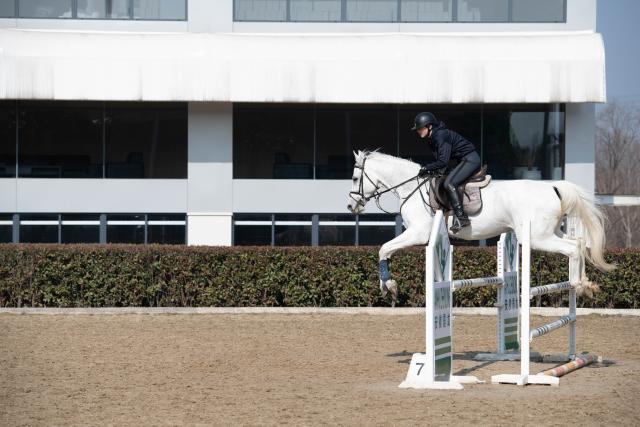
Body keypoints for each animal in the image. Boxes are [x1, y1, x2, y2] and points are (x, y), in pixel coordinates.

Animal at [346, 150, 615, 305]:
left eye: (355, 178)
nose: (351, 206)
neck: (411, 187)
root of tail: (553, 186)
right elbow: (386, 250)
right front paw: (388, 287)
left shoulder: (418, 233)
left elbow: (384, 249)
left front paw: (389, 287)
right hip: (550, 232)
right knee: (578, 243)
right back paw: (587, 285)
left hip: (538, 237)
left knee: (573, 249)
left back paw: (579, 285)